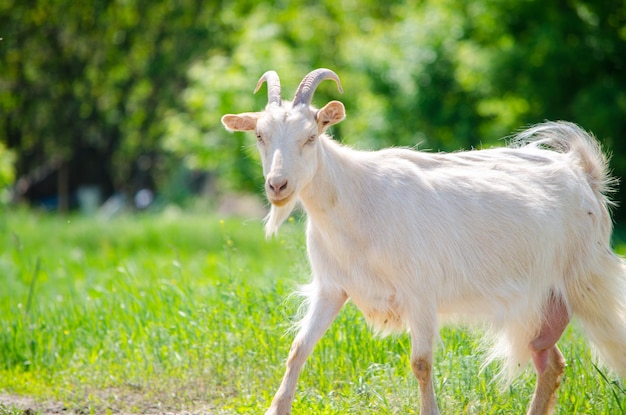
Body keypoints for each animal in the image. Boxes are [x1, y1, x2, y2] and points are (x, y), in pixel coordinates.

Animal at [221, 69, 624, 415]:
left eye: (310, 137)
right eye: (259, 136)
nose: (278, 185)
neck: (356, 198)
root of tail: (583, 172)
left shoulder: (420, 292)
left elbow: (421, 363)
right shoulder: (332, 287)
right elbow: (298, 349)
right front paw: (277, 407)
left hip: (584, 279)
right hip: (539, 300)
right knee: (550, 362)